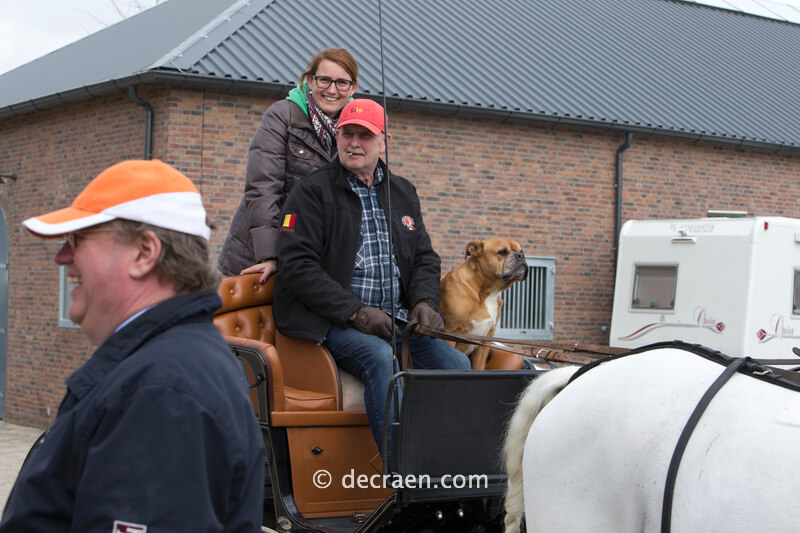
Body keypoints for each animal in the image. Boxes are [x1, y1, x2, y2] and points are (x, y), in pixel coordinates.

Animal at [440, 238, 528, 369]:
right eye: (502, 252)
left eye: (522, 251)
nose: (521, 256)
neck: (488, 292)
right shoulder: (450, 334)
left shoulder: (485, 342)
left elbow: (478, 367)